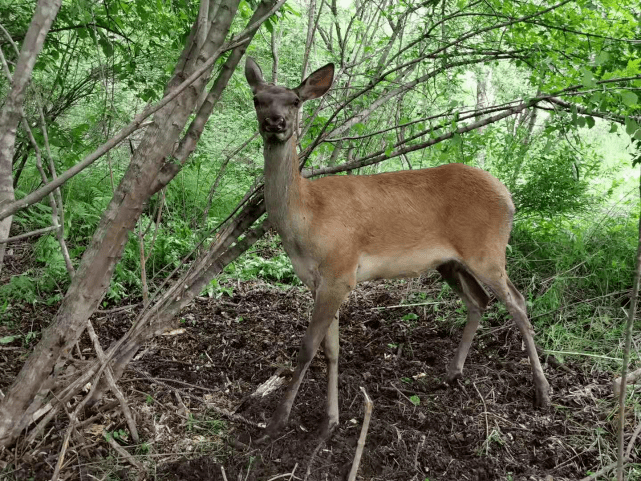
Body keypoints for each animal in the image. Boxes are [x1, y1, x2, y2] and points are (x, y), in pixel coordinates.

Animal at [245, 56, 552, 438]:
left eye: (295, 101)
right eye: (257, 99)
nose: (275, 122)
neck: (306, 218)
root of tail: (509, 199)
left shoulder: (340, 270)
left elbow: (307, 348)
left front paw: (278, 420)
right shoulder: (321, 280)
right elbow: (331, 349)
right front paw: (330, 420)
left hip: (488, 250)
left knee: (518, 303)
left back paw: (542, 392)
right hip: (451, 262)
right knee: (479, 301)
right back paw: (451, 373)